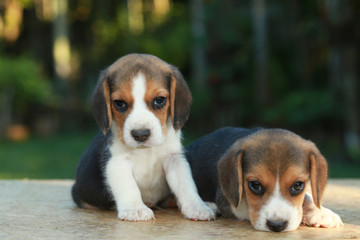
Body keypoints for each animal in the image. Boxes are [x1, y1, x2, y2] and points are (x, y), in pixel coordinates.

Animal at [71, 54, 215, 221]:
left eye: (159, 100)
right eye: (119, 103)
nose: (141, 134)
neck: (146, 150)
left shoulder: (174, 159)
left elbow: (186, 184)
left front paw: (197, 206)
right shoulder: (116, 162)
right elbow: (128, 186)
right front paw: (135, 209)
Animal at [186, 126, 344, 232]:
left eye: (298, 185)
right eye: (255, 185)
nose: (277, 225)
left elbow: (307, 196)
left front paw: (321, 212)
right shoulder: (228, 202)